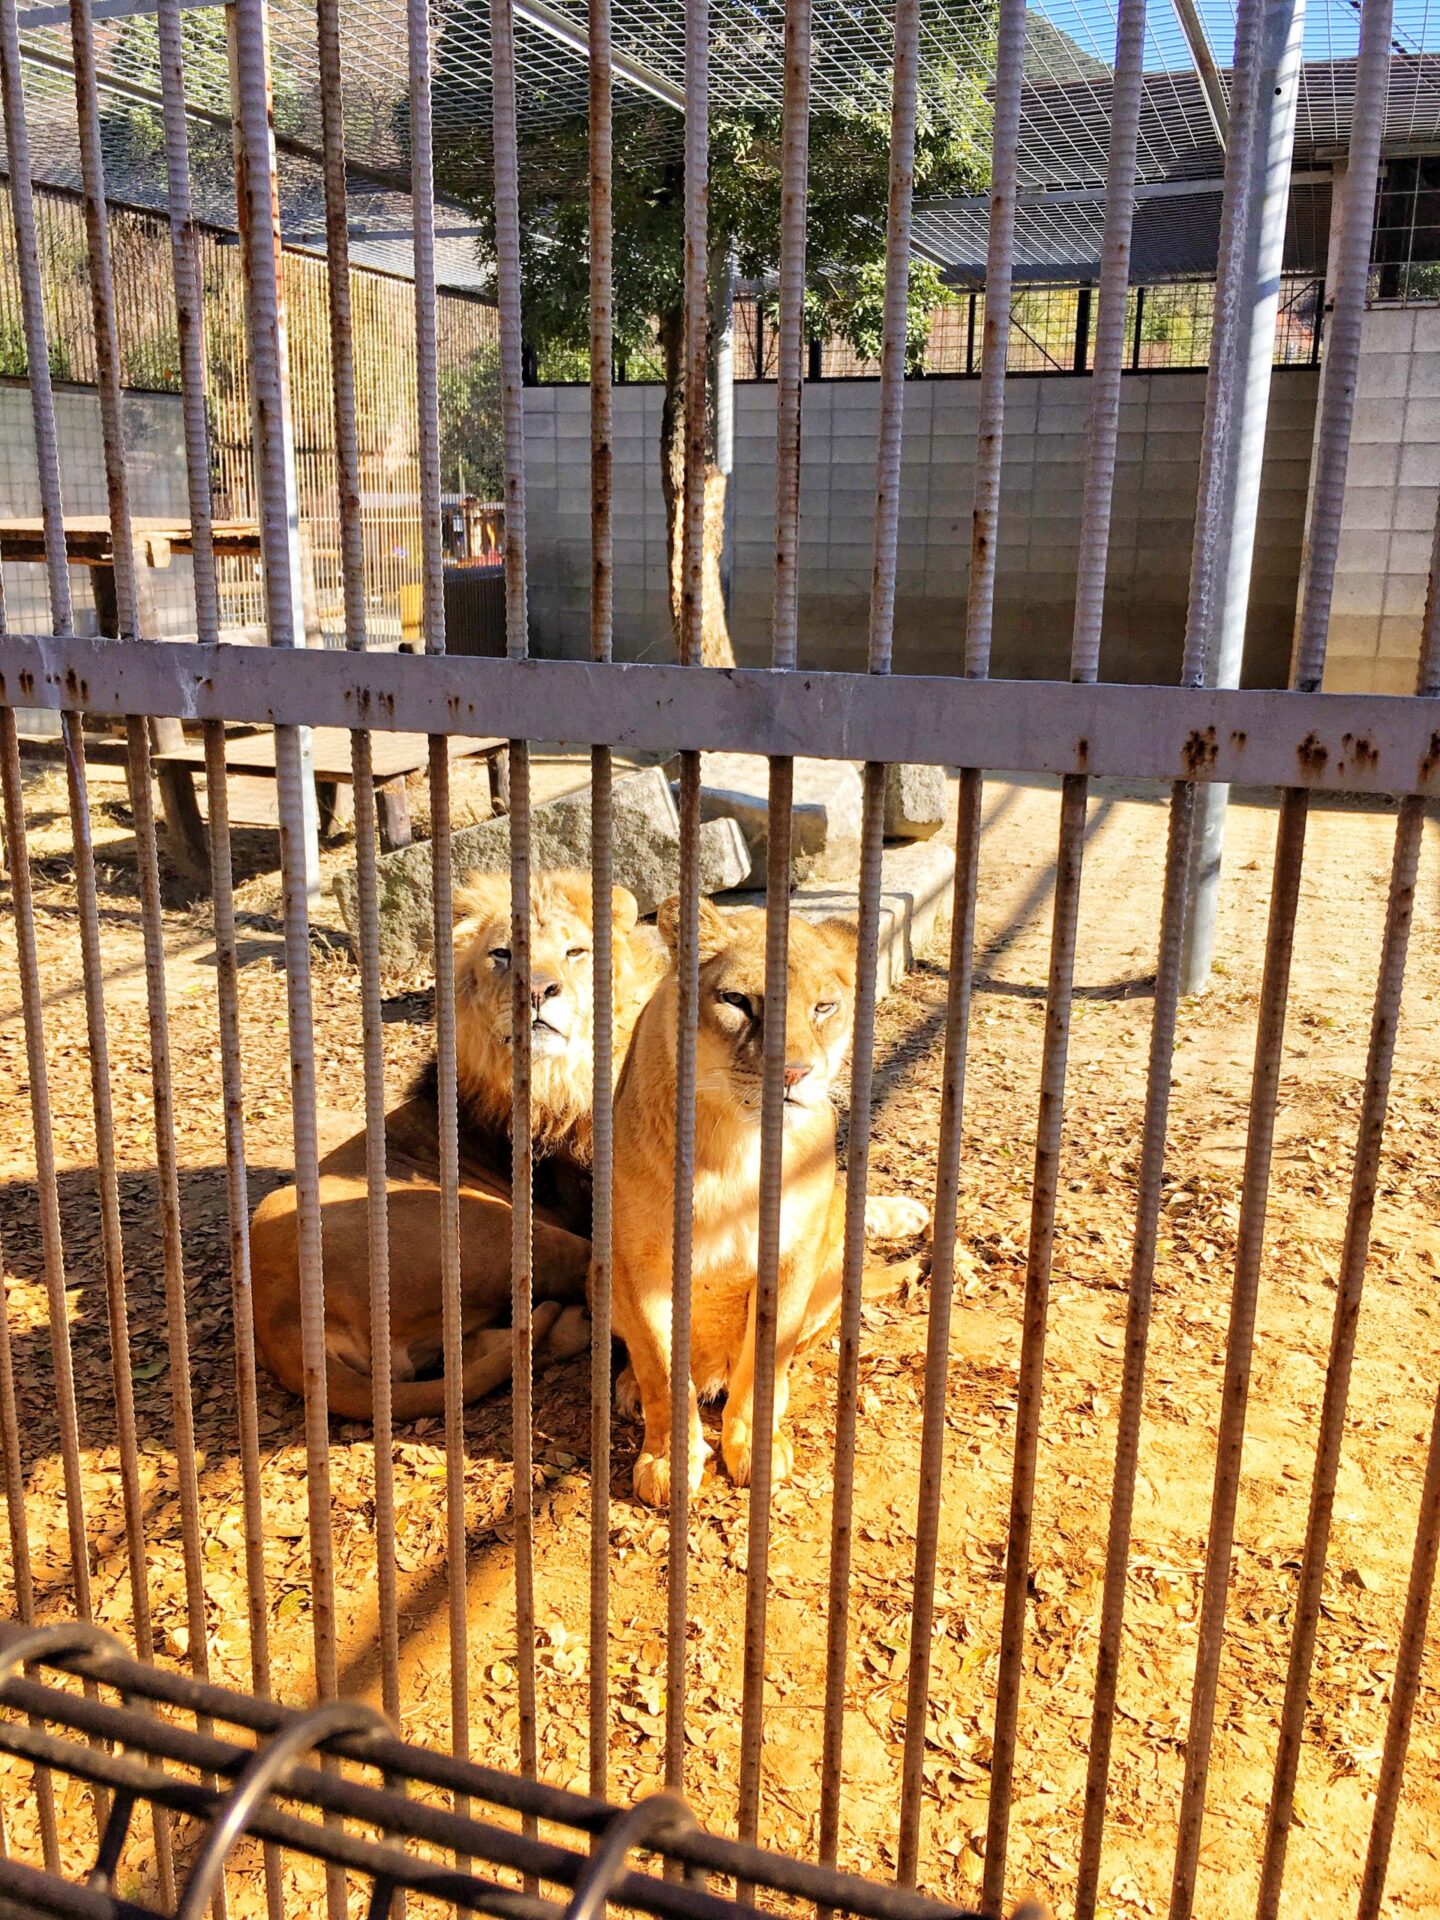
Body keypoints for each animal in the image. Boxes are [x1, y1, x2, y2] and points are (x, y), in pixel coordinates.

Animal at [251, 871, 672, 1428]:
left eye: (576, 951)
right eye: (502, 954)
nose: (536, 990)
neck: (563, 1077)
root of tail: (282, 1322)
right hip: (493, 1231)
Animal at [610, 890, 929, 1505]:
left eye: (824, 1008)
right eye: (737, 1001)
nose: (793, 1073)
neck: (735, 1146)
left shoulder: (790, 1256)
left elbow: (764, 1361)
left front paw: (754, 1446)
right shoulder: (637, 1262)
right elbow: (661, 1365)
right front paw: (666, 1460)